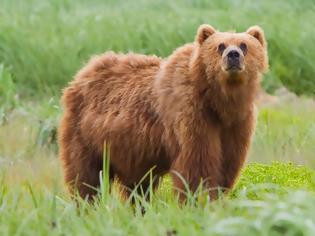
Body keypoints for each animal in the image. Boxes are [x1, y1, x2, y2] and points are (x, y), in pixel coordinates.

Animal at [58, 23, 270, 201]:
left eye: (244, 45)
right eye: (220, 45)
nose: (233, 55)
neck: (218, 101)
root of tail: (84, 71)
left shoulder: (236, 124)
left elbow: (227, 163)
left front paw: (216, 196)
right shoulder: (192, 115)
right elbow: (197, 165)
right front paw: (197, 200)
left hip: (132, 150)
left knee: (138, 186)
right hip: (86, 134)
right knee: (86, 176)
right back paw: (86, 204)